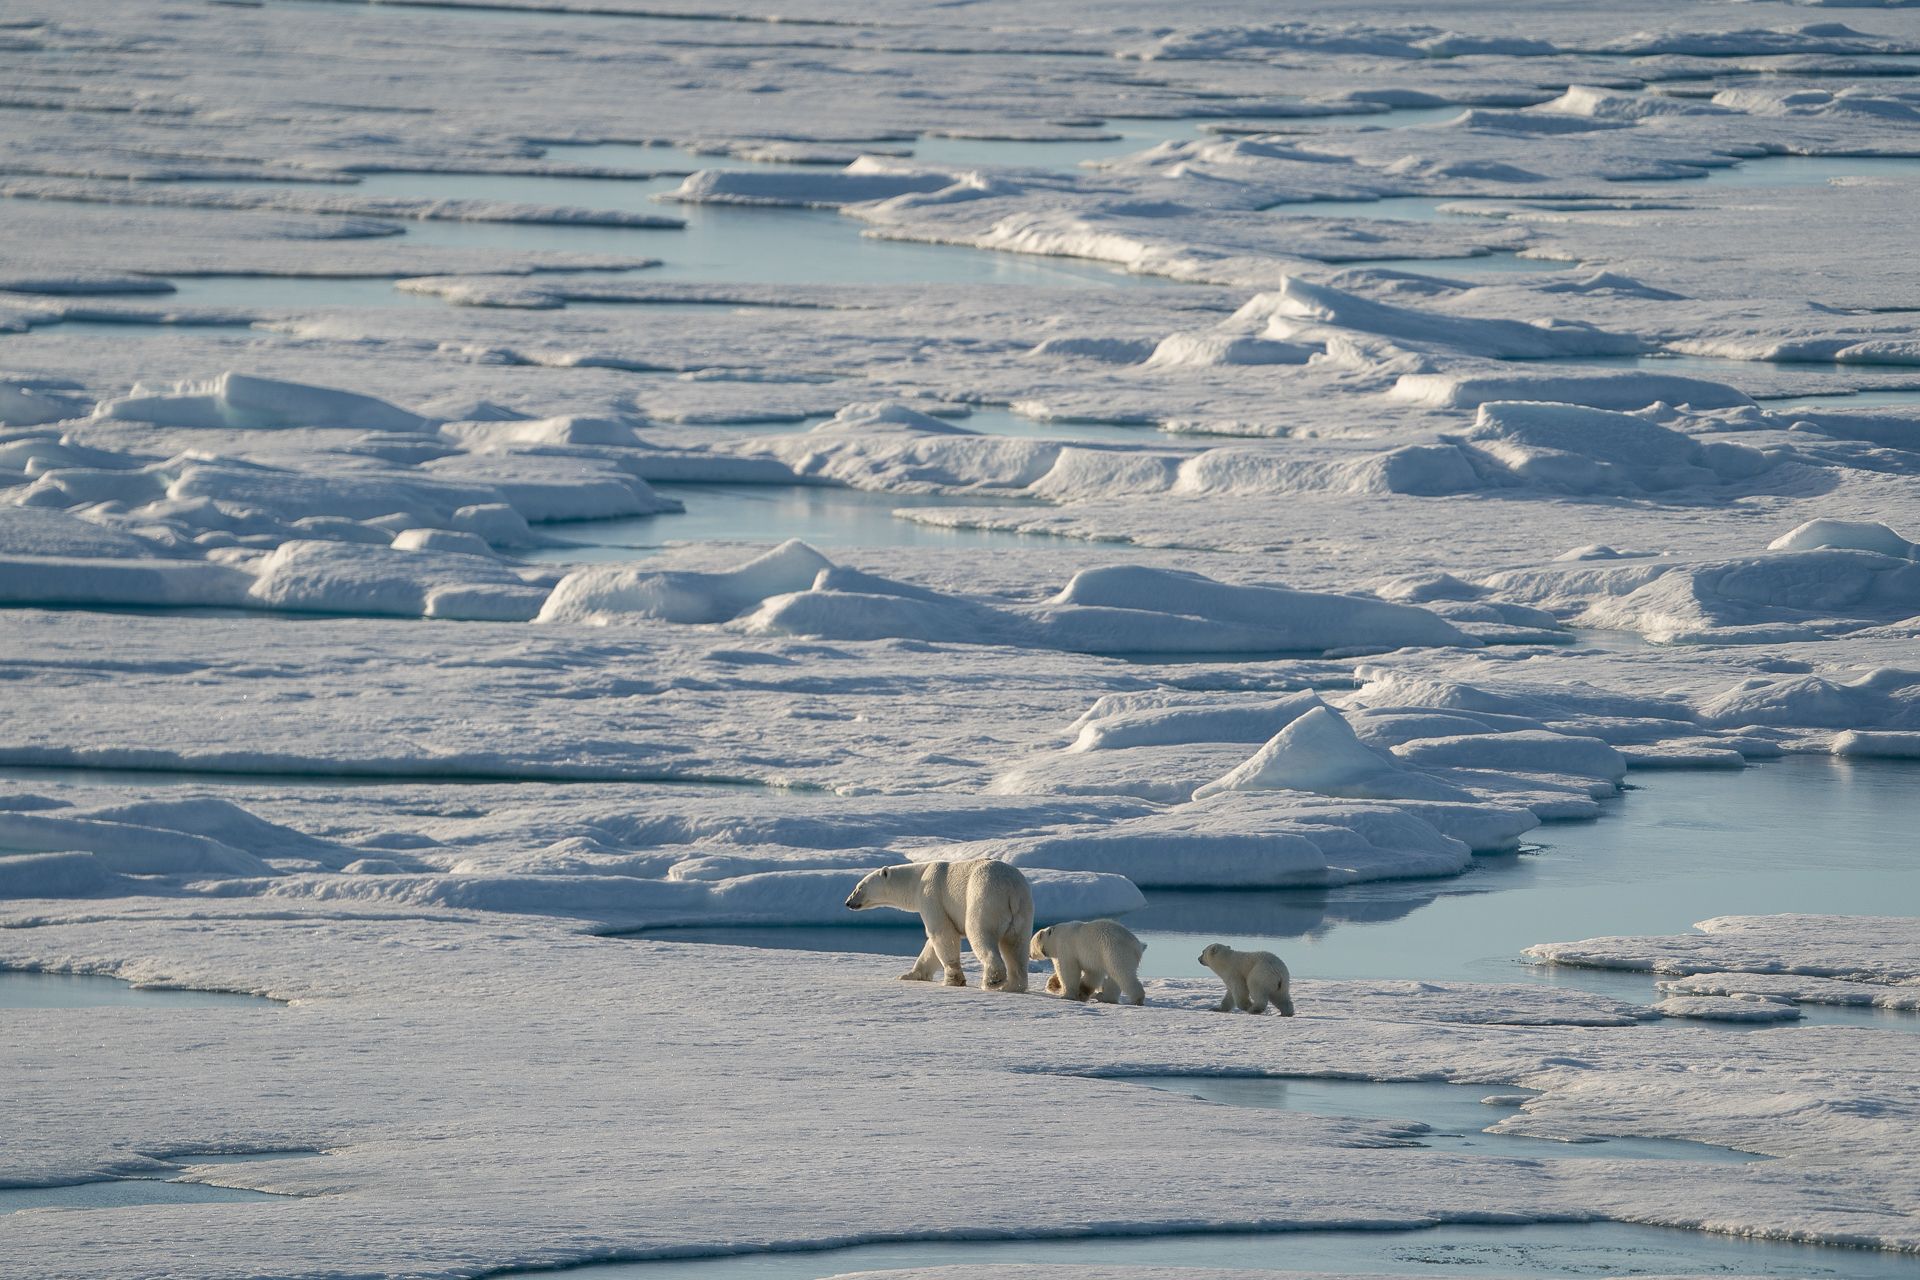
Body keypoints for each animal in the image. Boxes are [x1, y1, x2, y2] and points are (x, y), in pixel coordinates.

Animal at [848, 859, 1036, 990]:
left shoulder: (932, 895)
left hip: (985, 897)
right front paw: (909, 975)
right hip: (1023, 911)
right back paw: (1012, 986)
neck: (918, 879)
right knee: (1016, 945)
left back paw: (991, 981)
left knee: (980, 934)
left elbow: (941, 933)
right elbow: (931, 947)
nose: (848, 902)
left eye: (860, 886)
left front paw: (952, 981)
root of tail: (1011, 889)